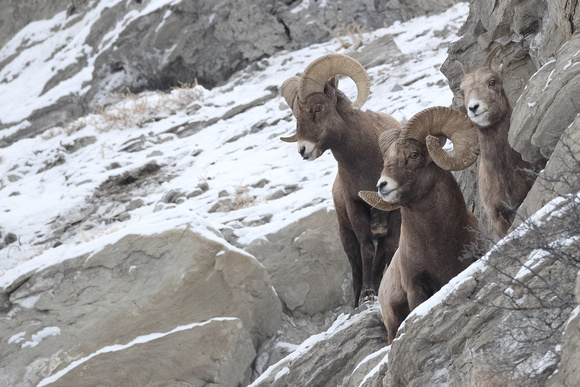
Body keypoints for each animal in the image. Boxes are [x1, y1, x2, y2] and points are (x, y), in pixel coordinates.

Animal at [282, 53, 404, 308]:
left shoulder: (396, 209)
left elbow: (389, 248)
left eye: (318, 107)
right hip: (346, 237)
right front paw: (368, 294)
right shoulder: (355, 206)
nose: (303, 150)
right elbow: (367, 249)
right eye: (297, 115)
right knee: (356, 268)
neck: (368, 163)